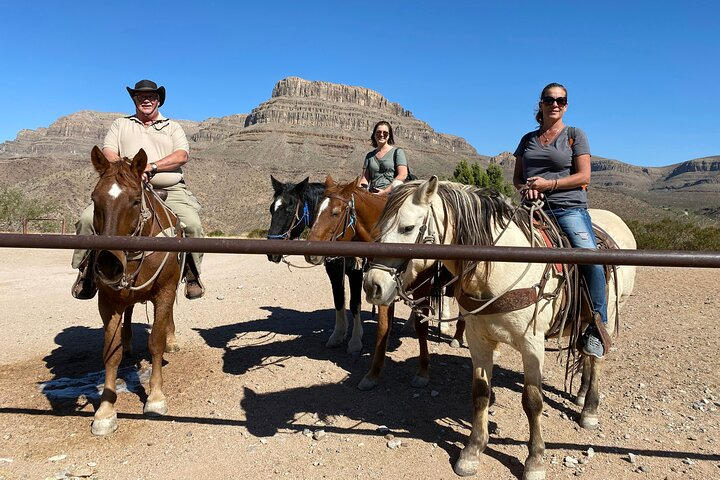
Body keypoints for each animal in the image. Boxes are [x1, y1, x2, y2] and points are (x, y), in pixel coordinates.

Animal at [88, 146, 183, 436]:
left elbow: (156, 343)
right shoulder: (108, 301)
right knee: (129, 314)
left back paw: (172, 341)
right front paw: (105, 411)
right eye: (95, 199)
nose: (108, 264)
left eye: (133, 201)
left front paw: (155, 398)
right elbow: (111, 352)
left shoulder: (165, 292)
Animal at [304, 176, 462, 390]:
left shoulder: (421, 286)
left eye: (335, 213)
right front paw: (373, 374)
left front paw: (423, 372)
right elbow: (382, 326)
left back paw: (456, 337)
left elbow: (421, 328)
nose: (310, 253)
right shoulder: (383, 285)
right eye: (316, 210)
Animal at [366, 177, 636, 480]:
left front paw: (535, 460)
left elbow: (532, 401)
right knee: (587, 354)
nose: (373, 285)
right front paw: (472, 451)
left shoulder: (532, 344)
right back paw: (580, 394)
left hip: (608, 313)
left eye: (408, 228)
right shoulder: (478, 340)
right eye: (380, 227)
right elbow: (480, 393)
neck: (500, 266)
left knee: (597, 356)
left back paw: (589, 409)